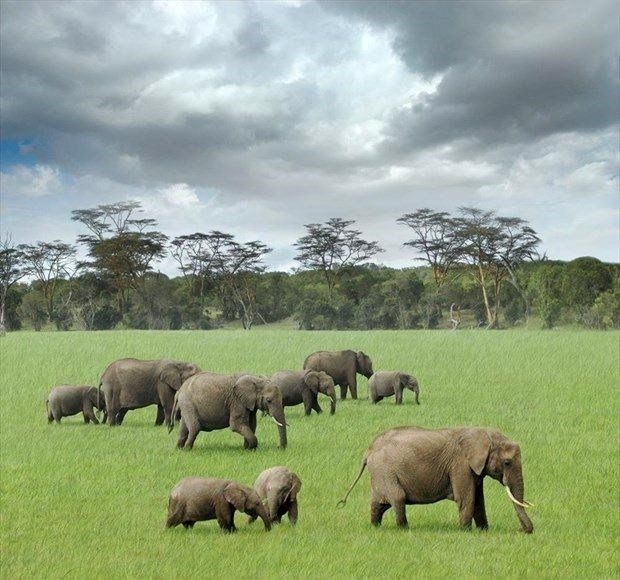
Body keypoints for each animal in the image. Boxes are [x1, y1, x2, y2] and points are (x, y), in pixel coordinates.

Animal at [340, 426, 532, 536]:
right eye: (507, 462)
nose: (521, 531)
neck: (485, 435)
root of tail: (368, 451)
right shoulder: (460, 464)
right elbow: (467, 498)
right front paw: (466, 532)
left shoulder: (474, 469)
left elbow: (478, 500)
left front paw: (483, 531)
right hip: (385, 471)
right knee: (398, 498)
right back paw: (404, 530)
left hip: (380, 473)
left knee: (378, 504)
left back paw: (375, 527)